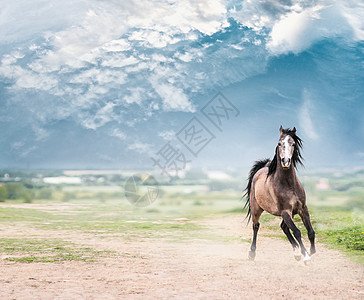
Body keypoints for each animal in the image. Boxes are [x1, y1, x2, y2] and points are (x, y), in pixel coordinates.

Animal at [245, 126, 316, 262]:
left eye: (293, 143)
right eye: (279, 143)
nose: (285, 161)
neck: (289, 186)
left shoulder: (302, 209)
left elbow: (310, 231)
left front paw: (311, 251)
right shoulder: (285, 211)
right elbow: (297, 232)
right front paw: (306, 257)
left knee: (284, 227)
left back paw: (296, 253)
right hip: (256, 209)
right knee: (256, 226)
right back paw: (251, 253)